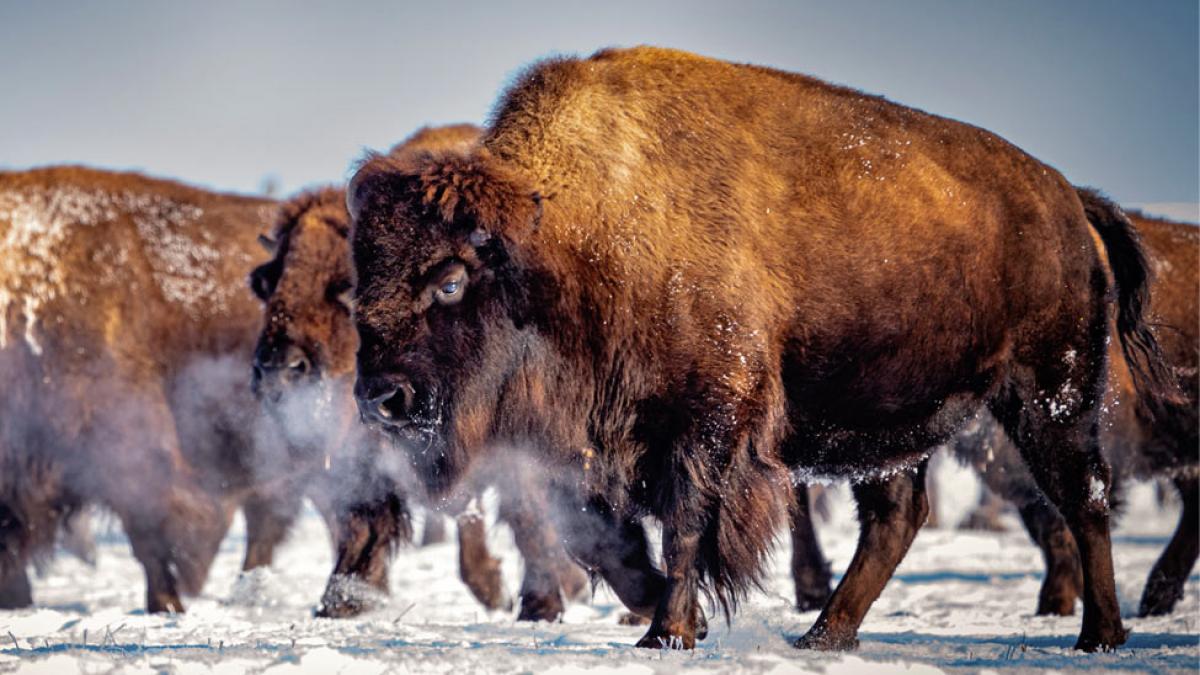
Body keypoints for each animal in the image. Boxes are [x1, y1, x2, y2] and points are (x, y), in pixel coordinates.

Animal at [248, 121, 585, 619]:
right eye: (268, 282)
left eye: (343, 285)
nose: (277, 369)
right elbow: (366, 523)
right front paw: (341, 600)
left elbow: (527, 512)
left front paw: (538, 606)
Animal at [350, 45, 1180, 648]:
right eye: (359, 282)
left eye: (450, 279)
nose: (380, 396)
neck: (563, 234)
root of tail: (1070, 199)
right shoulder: (592, 448)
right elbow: (609, 540)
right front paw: (665, 614)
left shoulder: (709, 421)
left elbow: (686, 527)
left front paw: (668, 632)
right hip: (897, 416)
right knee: (898, 514)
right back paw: (824, 636)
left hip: (1050, 392)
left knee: (1085, 496)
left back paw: (1101, 636)